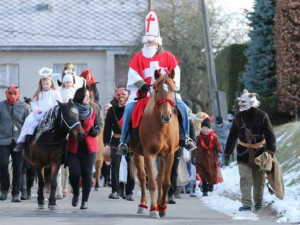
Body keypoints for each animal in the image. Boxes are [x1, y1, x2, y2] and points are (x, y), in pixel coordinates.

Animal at [130, 69, 179, 218]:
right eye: (156, 90)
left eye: (172, 89)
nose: (166, 116)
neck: (161, 127)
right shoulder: (148, 154)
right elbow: (151, 182)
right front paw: (153, 209)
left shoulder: (169, 155)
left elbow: (166, 183)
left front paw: (162, 207)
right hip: (137, 154)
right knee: (142, 178)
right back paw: (143, 205)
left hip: (161, 157)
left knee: (160, 178)